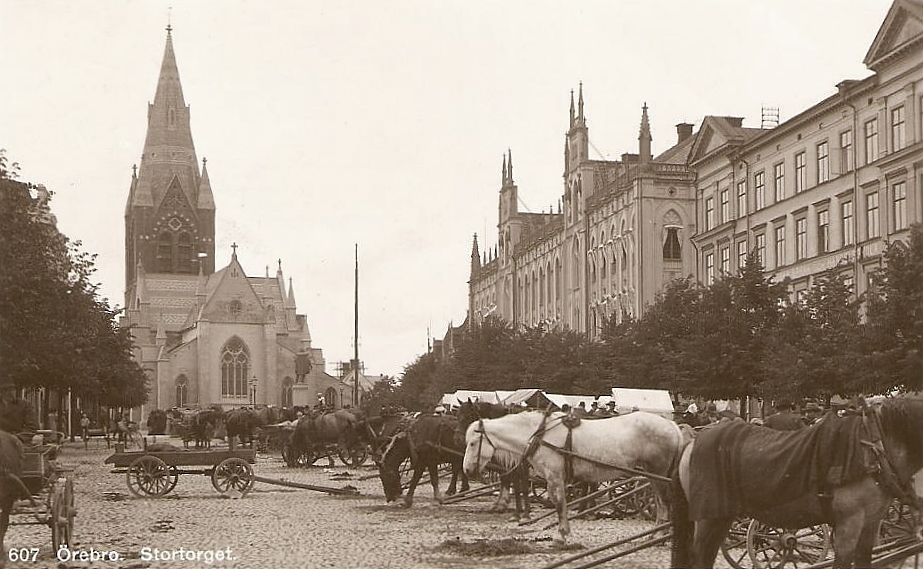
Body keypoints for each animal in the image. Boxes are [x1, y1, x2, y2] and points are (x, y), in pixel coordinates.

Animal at [462, 408, 684, 540]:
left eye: (472, 443)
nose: (467, 470)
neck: (541, 436)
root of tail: (673, 426)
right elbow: (560, 503)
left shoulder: (554, 476)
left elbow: (560, 503)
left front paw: (561, 535)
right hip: (652, 475)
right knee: (661, 502)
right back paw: (657, 533)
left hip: (657, 473)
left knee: (664, 502)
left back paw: (660, 535)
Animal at [672, 398, 923, 564]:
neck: (875, 447)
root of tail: (692, 441)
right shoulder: (849, 523)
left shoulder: (871, 523)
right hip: (708, 519)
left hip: (721, 516)